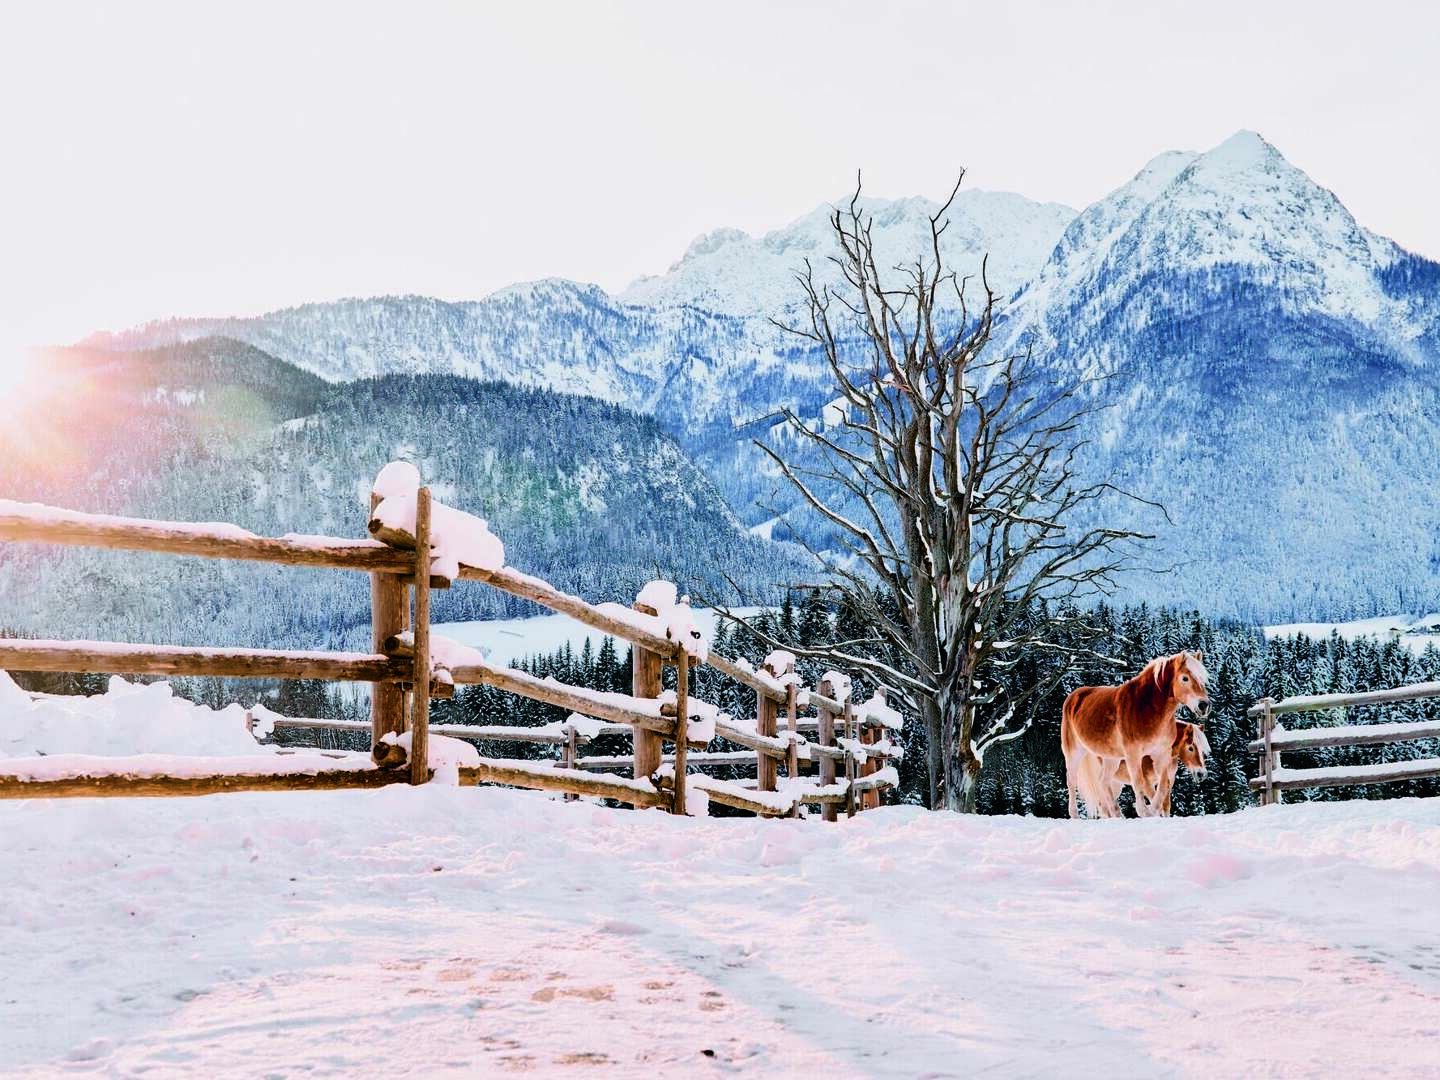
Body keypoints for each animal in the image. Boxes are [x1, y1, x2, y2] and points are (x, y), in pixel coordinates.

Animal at [1065, 650, 1209, 817]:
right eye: (1185, 678)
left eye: (1203, 679)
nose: (1204, 705)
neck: (1145, 708)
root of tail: (1074, 696)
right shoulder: (1134, 756)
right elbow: (1139, 783)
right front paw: (1145, 811)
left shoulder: (1161, 755)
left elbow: (1163, 789)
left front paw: (1153, 810)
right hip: (1074, 753)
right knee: (1072, 781)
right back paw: (1075, 815)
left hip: (1111, 760)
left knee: (1103, 783)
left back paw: (1118, 815)